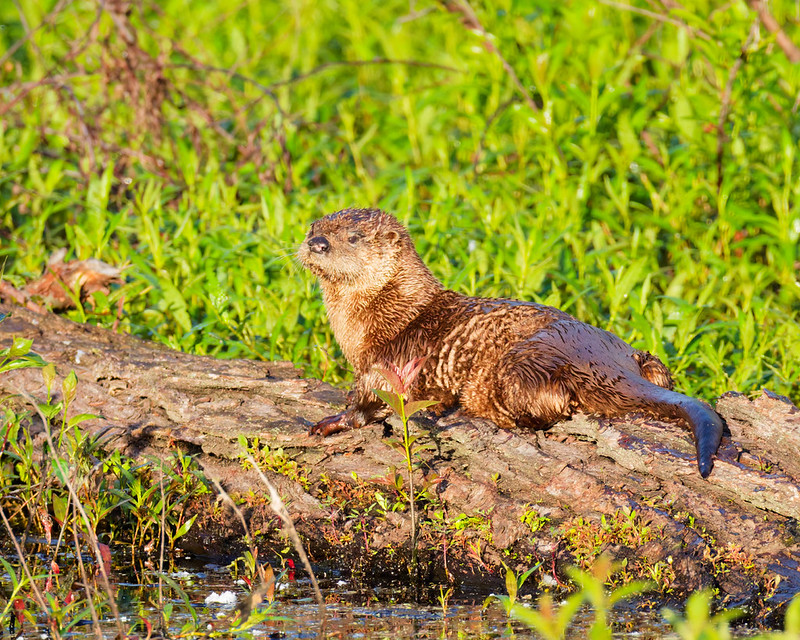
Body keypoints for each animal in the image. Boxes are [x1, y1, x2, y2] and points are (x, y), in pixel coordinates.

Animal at [297, 208, 723, 478]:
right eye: (313, 226)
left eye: (353, 237)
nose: (318, 242)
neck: (389, 313)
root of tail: (597, 356)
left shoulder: (389, 361)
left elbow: (368, 401)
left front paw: (331, 422)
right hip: (639, 355)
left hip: (520, 364)